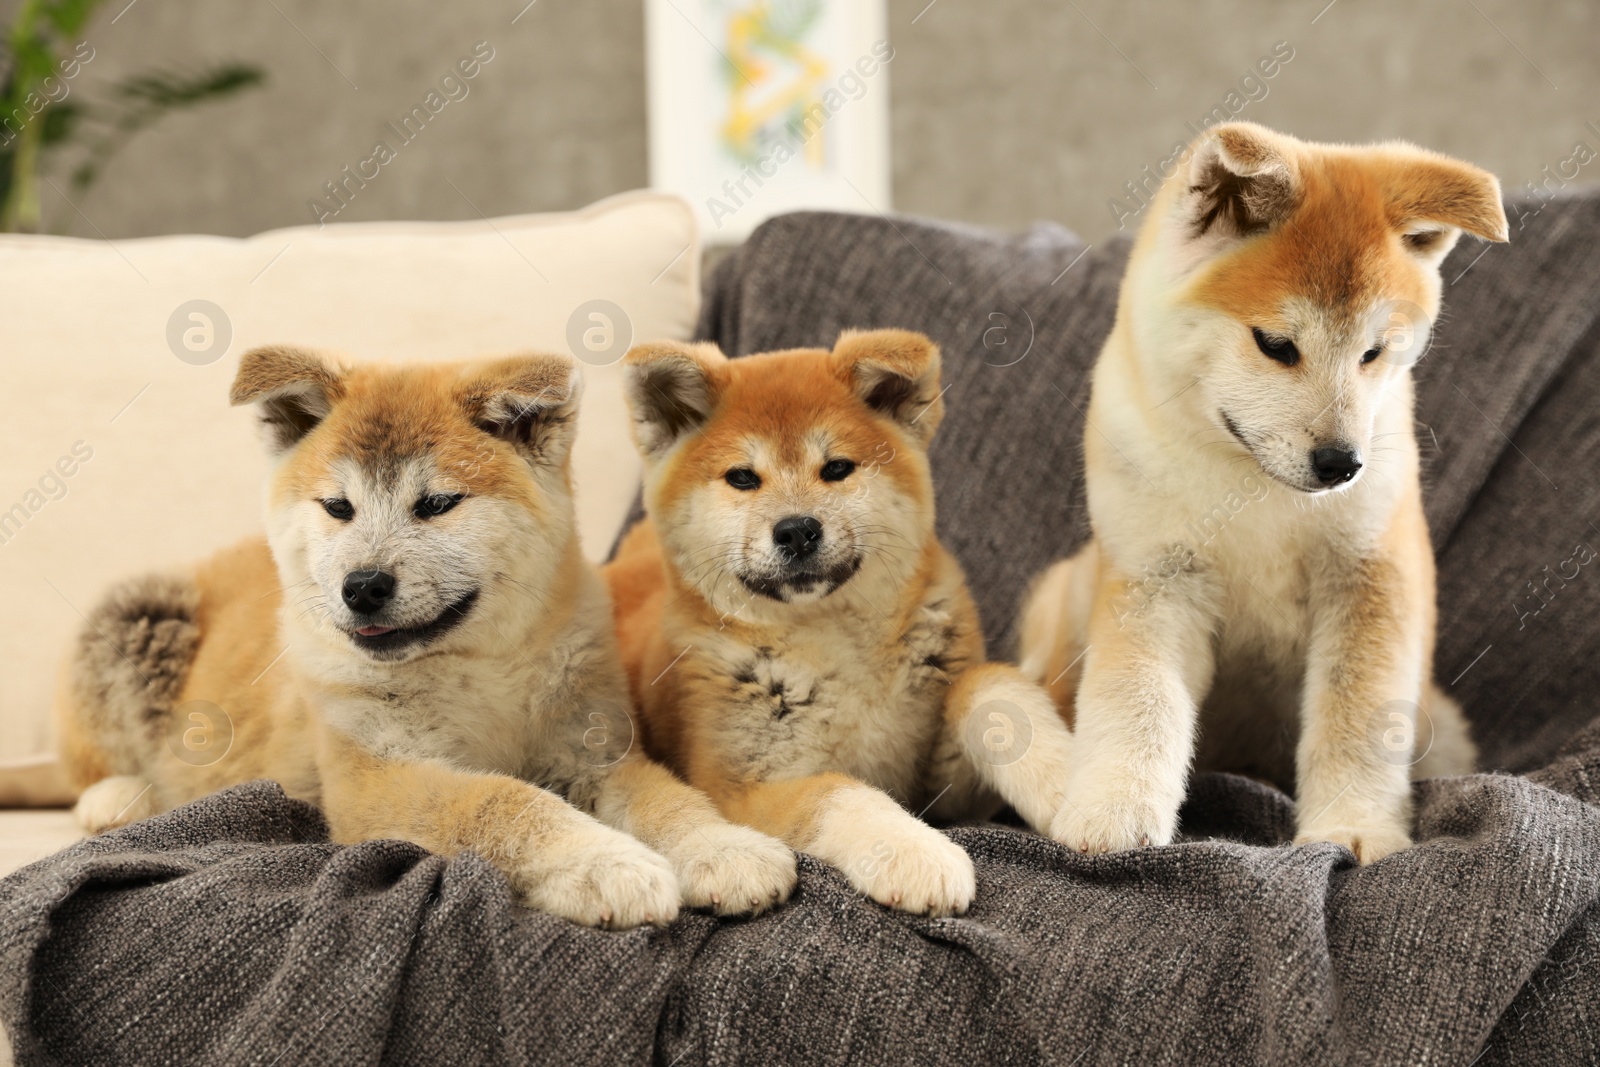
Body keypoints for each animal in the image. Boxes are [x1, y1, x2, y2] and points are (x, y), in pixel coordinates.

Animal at [54, 348, 793, 927]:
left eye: (437, 504)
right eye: (338, 507)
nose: (362, 586)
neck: (478, 667)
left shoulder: (595, 751)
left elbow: (668, 797)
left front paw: (725, 848)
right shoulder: (373, 779)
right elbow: (503, 799)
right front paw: (605, 861)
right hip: (135, 610)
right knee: (90, 762)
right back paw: (119, 797)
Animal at [604, 331, 1081, 921]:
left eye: (836, 468)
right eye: (742, 477)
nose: (797, 530)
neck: (833, 645)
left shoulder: (947, 788)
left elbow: (990, 683)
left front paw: (1076, 784)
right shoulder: (740, 787)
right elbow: (839, 791)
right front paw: (912, 850)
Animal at [1024, 125, 1497, 863]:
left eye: (1375, 352)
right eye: (1276, 344)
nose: (1341, 463)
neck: (1254, 487)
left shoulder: (1370, 574)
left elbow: (1357, 715)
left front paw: (1354, 826)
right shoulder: (1156, 577)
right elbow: (1137, 702)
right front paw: (1112, 814)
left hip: (1441, 725)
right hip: (1068, 598)